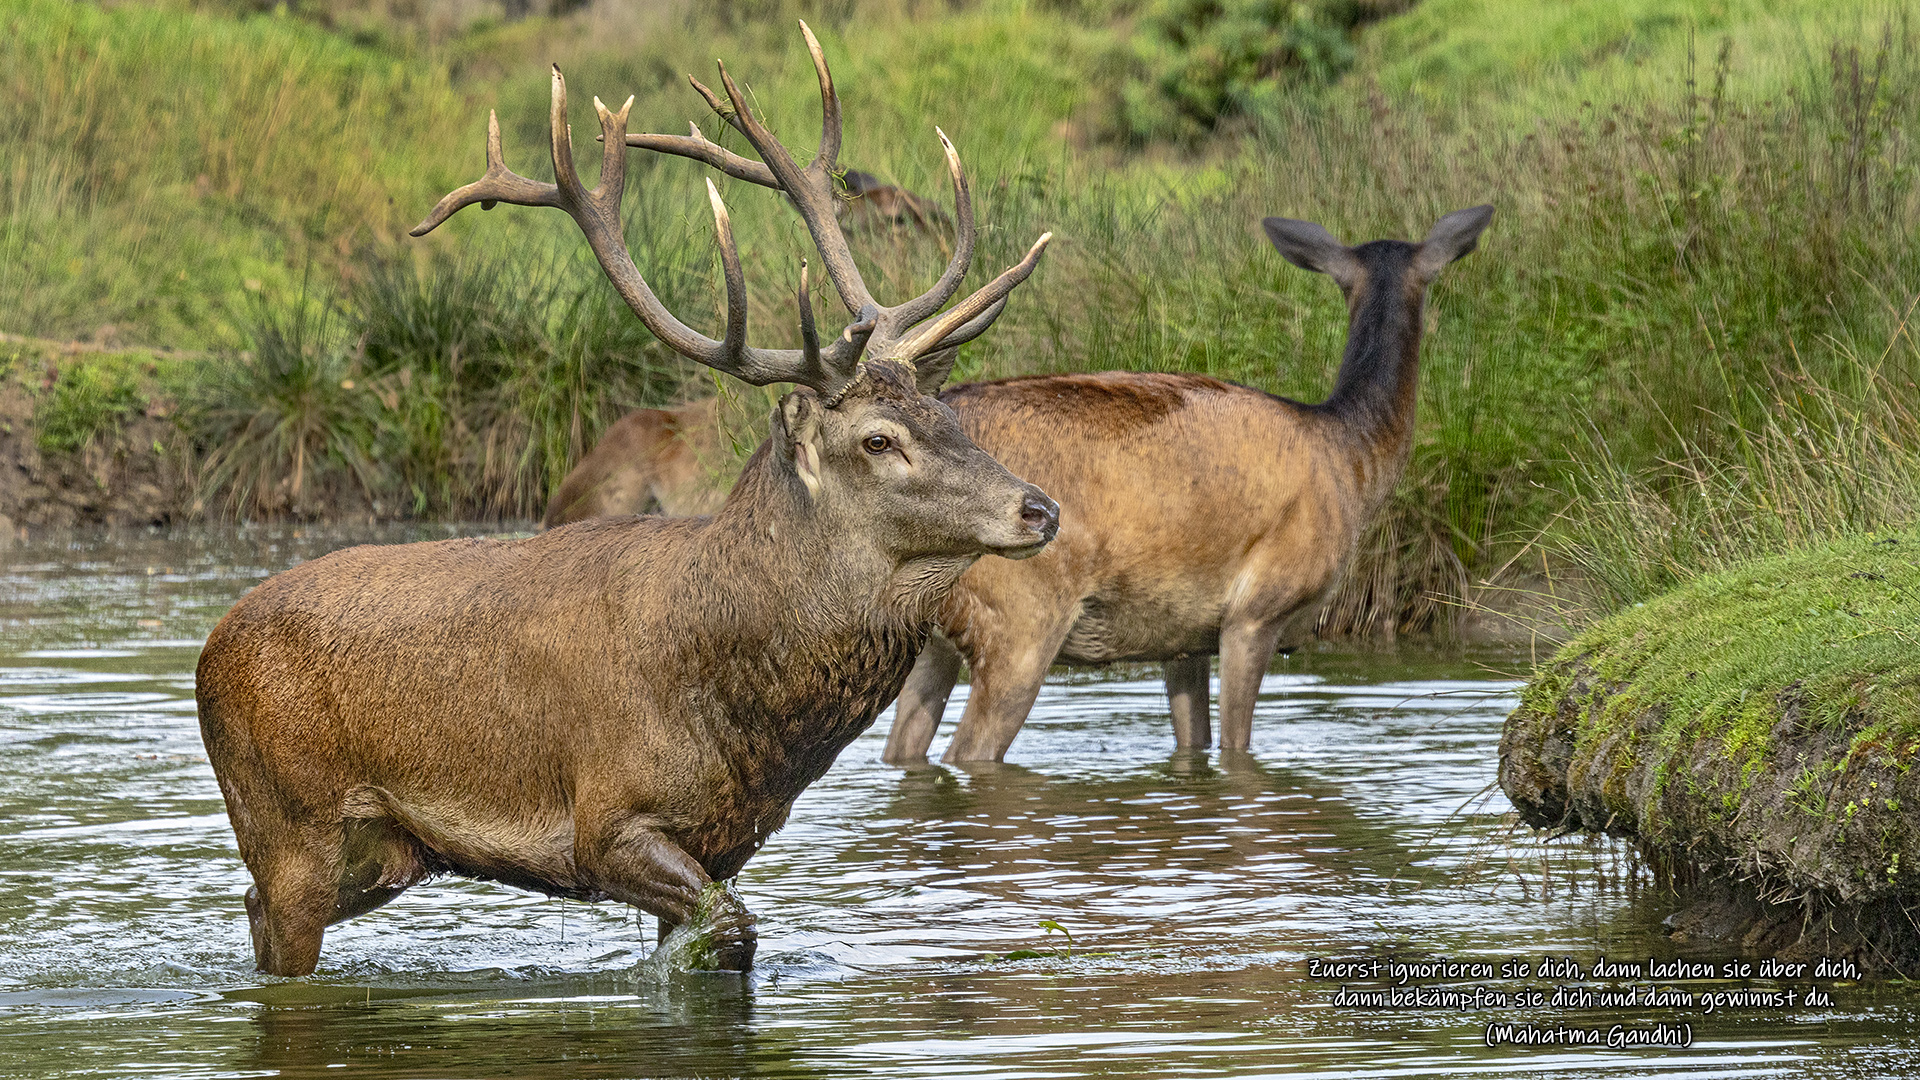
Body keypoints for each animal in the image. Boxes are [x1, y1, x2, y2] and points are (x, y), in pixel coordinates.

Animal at [196, 25, 1059, 972]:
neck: (744, 713)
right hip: (286, 818)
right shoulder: (604, 820)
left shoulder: (725, 835)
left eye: (948, 413)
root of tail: (209, 650)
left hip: (382, 852)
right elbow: (731, 930)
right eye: (877, 441)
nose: (1039, 509)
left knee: (251, 906)